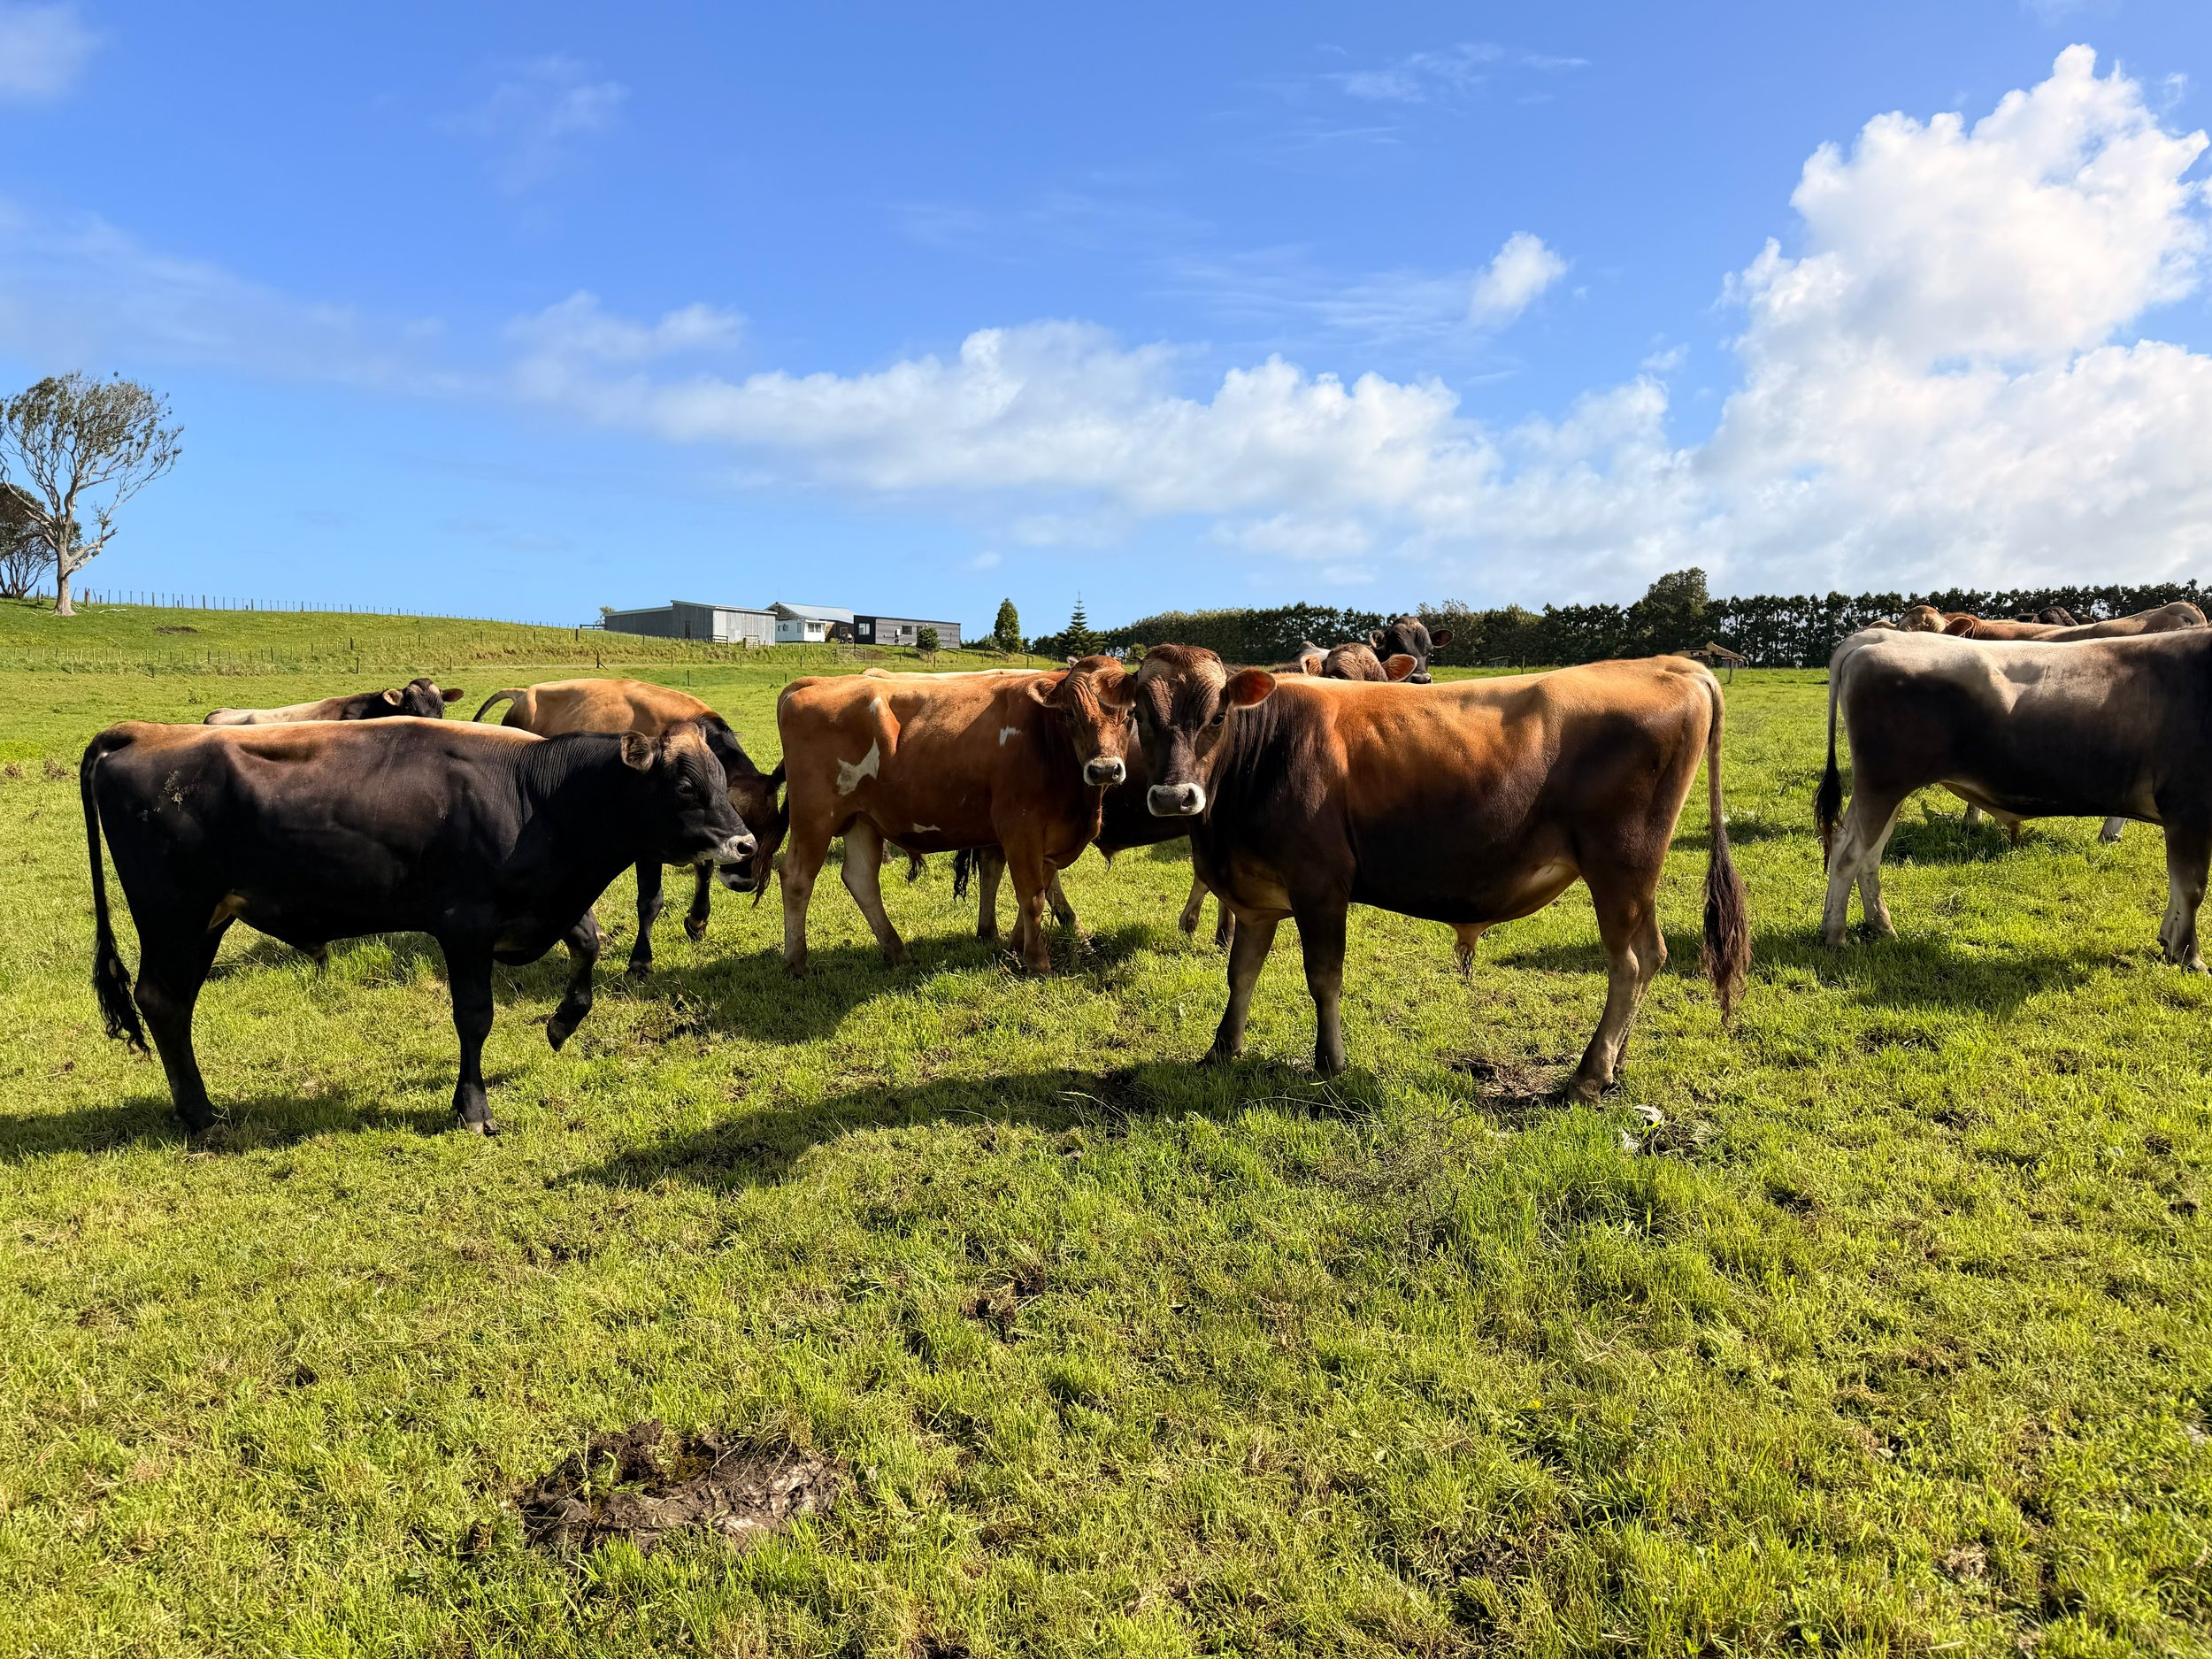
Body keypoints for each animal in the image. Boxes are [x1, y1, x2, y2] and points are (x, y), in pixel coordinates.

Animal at [82, 719, 754, 1135]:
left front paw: (562, 1022)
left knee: (169, 1004)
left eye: (722, 780)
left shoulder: (544, 905)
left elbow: (588, 944)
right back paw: (200, 1114)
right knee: (163, 1001)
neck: (536, 793)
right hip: (175, 916)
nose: (745, 845)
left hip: (204, 920)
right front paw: (473, 1106)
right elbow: (475, 1017)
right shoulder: (465, 925)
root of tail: (145, 733)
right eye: (686, 786)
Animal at [471, 678, 787, 972]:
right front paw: (640, 961)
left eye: (771, 830)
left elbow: (704, 870)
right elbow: (651, 900)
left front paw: (697, 920)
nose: (743, 883)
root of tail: (524, 694)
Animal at [775, 656, 1138, 973]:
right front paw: (1037, 962)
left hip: (861, 819)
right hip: (815, 816)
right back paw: (796, 961)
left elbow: (1039, 890)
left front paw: (1014, 946)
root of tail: (813, 682)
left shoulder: (1050, 838)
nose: (1104, 769)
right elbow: (1031, 896)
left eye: (1132, 714)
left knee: (861, 878)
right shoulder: (1020, 828)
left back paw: (897, 952)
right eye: (1070, 713)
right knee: (797, 876)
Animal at [1126, 646, 1749, 1100]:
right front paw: (1221, 1049)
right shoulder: (1255, 895)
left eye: (1218, 716)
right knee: (1652, 954)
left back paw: (1588, 1075)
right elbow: (1242, 973)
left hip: (1620, 865)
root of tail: (1670, 663)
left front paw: (1330, 1062)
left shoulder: (1320, 884)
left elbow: (1323, 976)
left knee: (1629, 963)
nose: (1174, 797)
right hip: (1636, 876)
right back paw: (1614, 1063)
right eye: (1141, 716)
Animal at [1816, 626, 2212, 964]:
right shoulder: (2189, 808)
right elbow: (2192, 887)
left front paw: (2171, 944)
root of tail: (1877, 636)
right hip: (1883, 783)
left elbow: (2180, 887)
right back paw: (1834, 935)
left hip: (1889, 789)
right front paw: (2189, 956)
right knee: (1849, 852)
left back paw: (1881, 927)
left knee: (1869, 853)